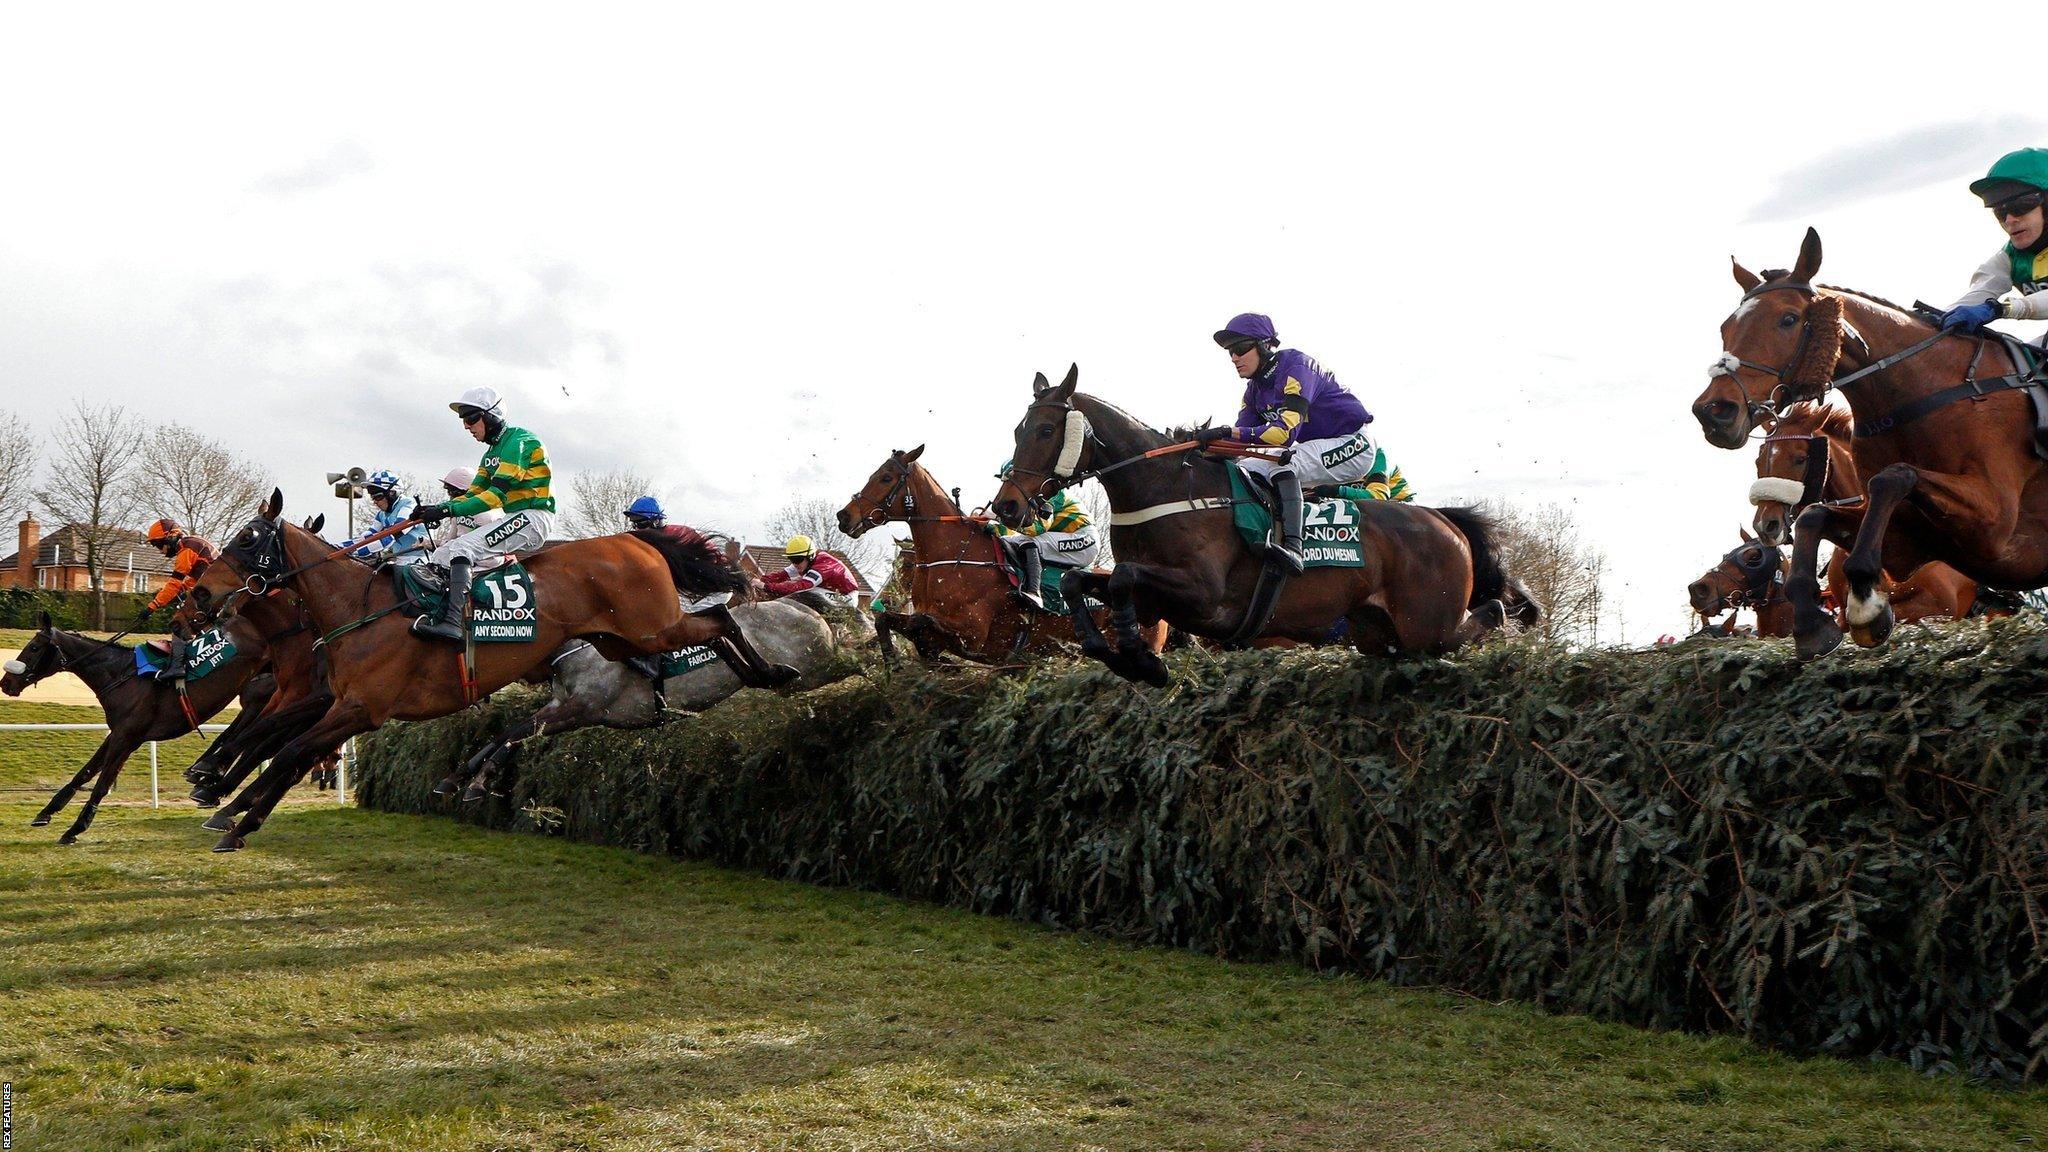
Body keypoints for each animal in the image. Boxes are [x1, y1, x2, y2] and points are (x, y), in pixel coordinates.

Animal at [188, 487, 798, 848]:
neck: (357, 610)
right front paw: (228, 801)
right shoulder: (339, 703)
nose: (198, 595)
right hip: (619, 640)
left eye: (247, 538)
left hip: (652, 627)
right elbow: (279, 745)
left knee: (719, 616)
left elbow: (284, 747)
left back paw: (772, 674)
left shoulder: (360, 708)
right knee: (708, 625)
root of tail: (635, 540)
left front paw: (230, 811)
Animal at [438, 590, 839, 799]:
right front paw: (457, 776)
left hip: (810, 671)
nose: (465, 685)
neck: (577, 646)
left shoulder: (583, 709)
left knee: (731, 626)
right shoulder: (561, 704)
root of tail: (803, 606)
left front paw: (477, 782)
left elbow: (516, 736)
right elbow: (510, 733)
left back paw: (772, 669)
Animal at [823, 448, 1163, 664]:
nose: (844, 516)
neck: (952, 557)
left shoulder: (972, 633)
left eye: (886, 477)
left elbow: (921, 623)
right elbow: (886, 620)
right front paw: (894, 661)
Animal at [983, 364, 1531, 680]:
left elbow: (1120, 579)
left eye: (1046, 429)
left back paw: (1508, 633)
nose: (1006, 507)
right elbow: (1079, 580)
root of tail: (1446, 523)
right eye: (1017, 430)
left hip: (1426, 623)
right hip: (1379, 631)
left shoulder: (1203, 595)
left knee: (1484, 617)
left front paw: (1141, 659)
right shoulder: (1161, 591)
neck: (1163, 487)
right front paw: (1116, 652)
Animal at [1695, 226, 2048, 655]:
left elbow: (1893, 476)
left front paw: (1865, 603)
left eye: (1788, 319)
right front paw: (1813, 622)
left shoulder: (1994, 523)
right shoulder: (1909, 540)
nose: (1714, 411)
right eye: (1725, 327)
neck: (1920, 396)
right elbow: (1816, 515)